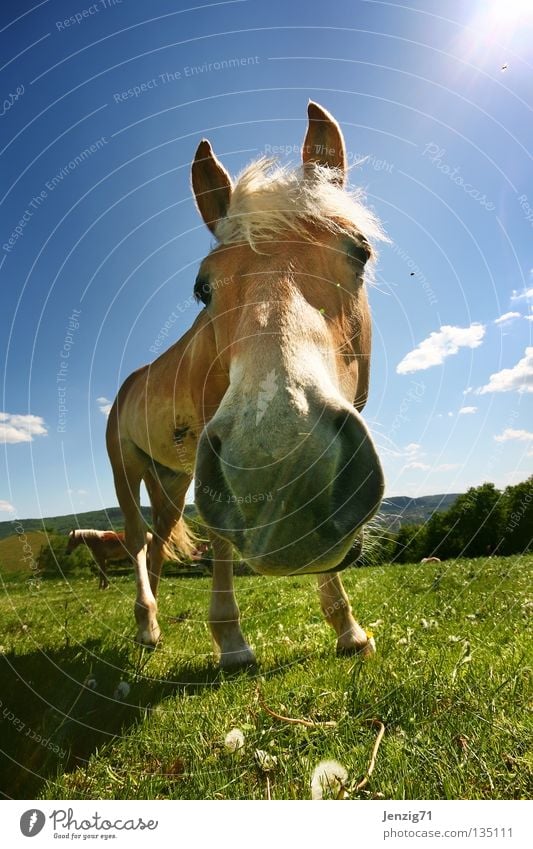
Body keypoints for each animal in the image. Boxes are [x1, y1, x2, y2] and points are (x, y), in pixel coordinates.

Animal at [106, 101, 384, 668]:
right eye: (202, 287)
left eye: (360, 251)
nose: (280, 462)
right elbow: (220, 540)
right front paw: (231, 640)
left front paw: (348, 630)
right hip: (127, 469)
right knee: (136, 539)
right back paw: (145, 623)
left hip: (171, 480)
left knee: (158, 539)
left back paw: (153, 622)